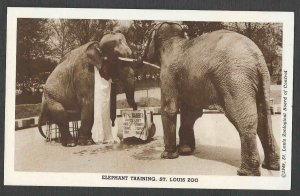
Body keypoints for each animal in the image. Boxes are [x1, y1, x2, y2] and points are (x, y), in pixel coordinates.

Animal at [142, 22, 280, 176]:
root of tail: (258, 57)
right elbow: (191, 112)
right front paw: (185, 151)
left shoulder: (168, 74)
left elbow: (169, 109)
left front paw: (168, 156)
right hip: (258, 81)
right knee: (264, 116)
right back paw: (271, 166)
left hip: (235, 79)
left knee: (243, 118)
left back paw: (245, 172)